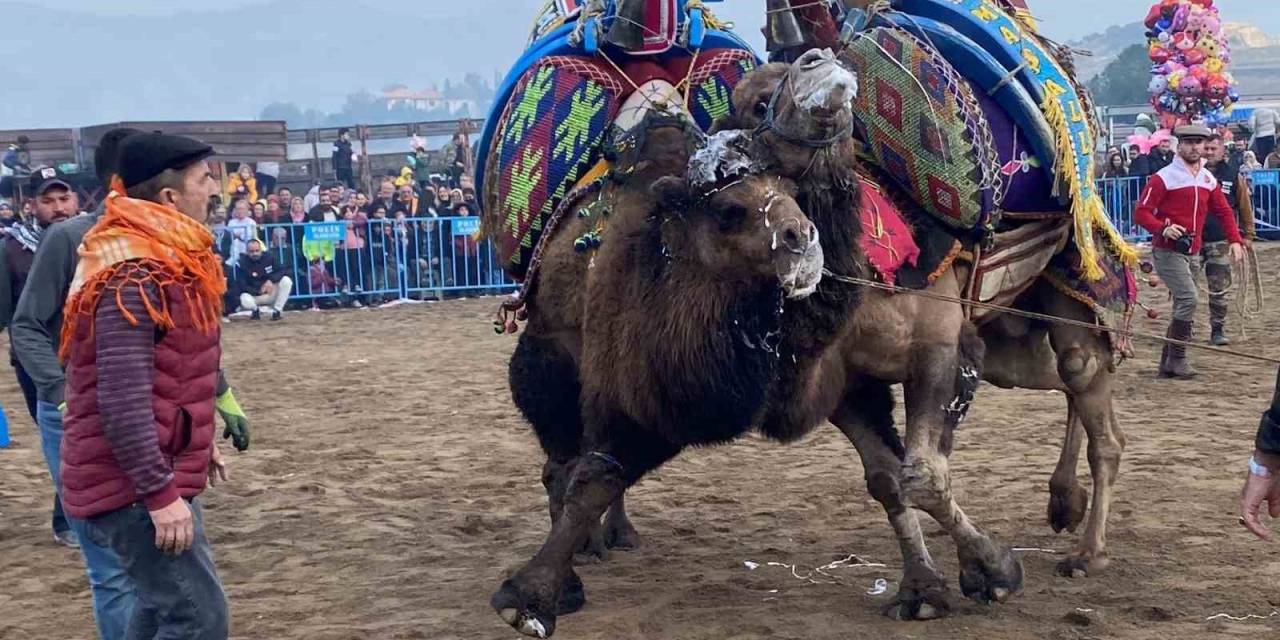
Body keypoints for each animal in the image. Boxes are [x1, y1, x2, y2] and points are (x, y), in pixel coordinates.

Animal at [481, 112, 829, 637]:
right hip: (551, 364)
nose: (802, 239)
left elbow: (607, 475)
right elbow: (589, 477)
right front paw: (534, 598)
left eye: (792, 190)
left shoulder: (660, 410)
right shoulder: (611, 387)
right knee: (560, 464)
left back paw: (616, 536)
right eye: (728, 209)